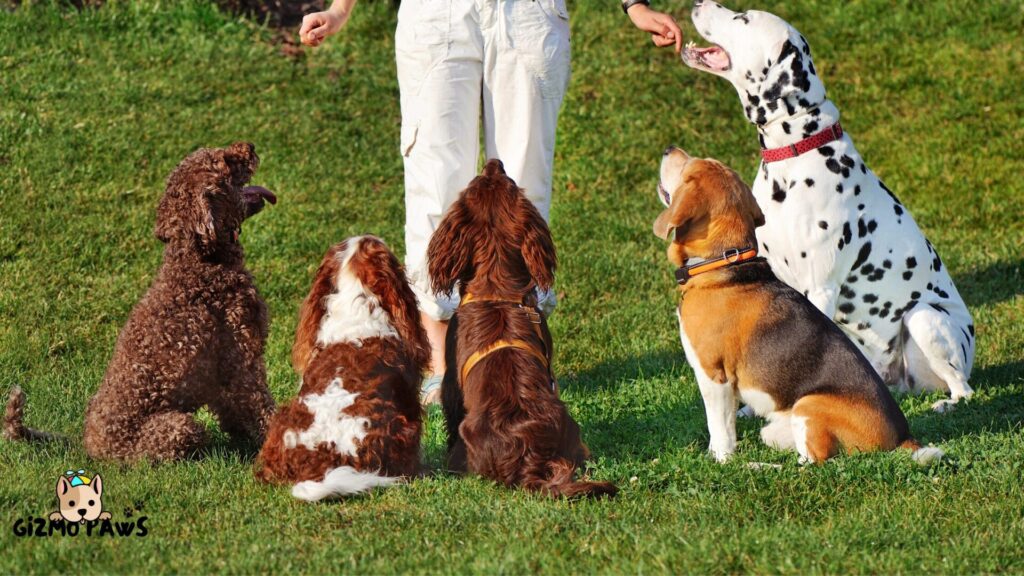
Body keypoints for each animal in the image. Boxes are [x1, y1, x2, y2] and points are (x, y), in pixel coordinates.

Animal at [80, 141, 278, 459]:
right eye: (226, 161)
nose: (250, 145)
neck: (199, 262)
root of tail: (93, 448)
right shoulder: (241, 363)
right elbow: (263, 409)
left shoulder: (223, 378)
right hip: (179, 427)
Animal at [651, 147, 937, 461]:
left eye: (687, 168)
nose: (668, 150)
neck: (725, 262)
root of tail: (903, 437)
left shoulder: (714, 377)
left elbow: (720, 429)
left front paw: (721, 461)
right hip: (775, 429)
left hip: (807, 405)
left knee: (816, 461)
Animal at [679, 1, 974, 412]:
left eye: (743, 18)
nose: (699, 3)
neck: (796, 151)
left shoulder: (820, 288)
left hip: (924, 318)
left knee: (963, 386)